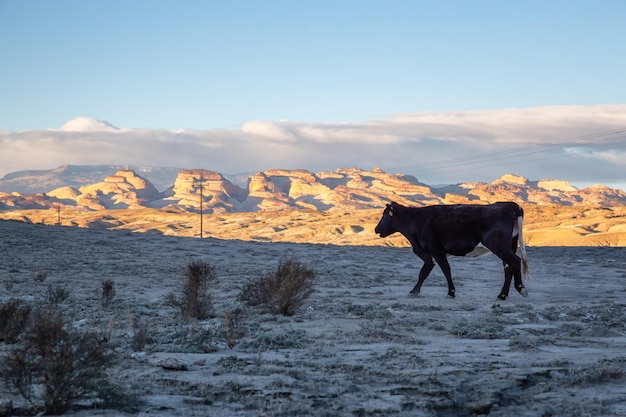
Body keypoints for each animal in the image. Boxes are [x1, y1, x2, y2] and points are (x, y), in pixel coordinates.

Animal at [376, 202, 528, 300]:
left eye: (385, 215)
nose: (376, 229)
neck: (416, 221)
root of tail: (510, 205)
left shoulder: (436, 251)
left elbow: (444, 270)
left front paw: (451, 292)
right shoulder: (430, 255)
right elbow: (424, 273)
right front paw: (415, 291)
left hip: (499, 246)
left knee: (515, 261)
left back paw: (521, 288)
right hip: (509, 246)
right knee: (508, 267)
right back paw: (502, 295)